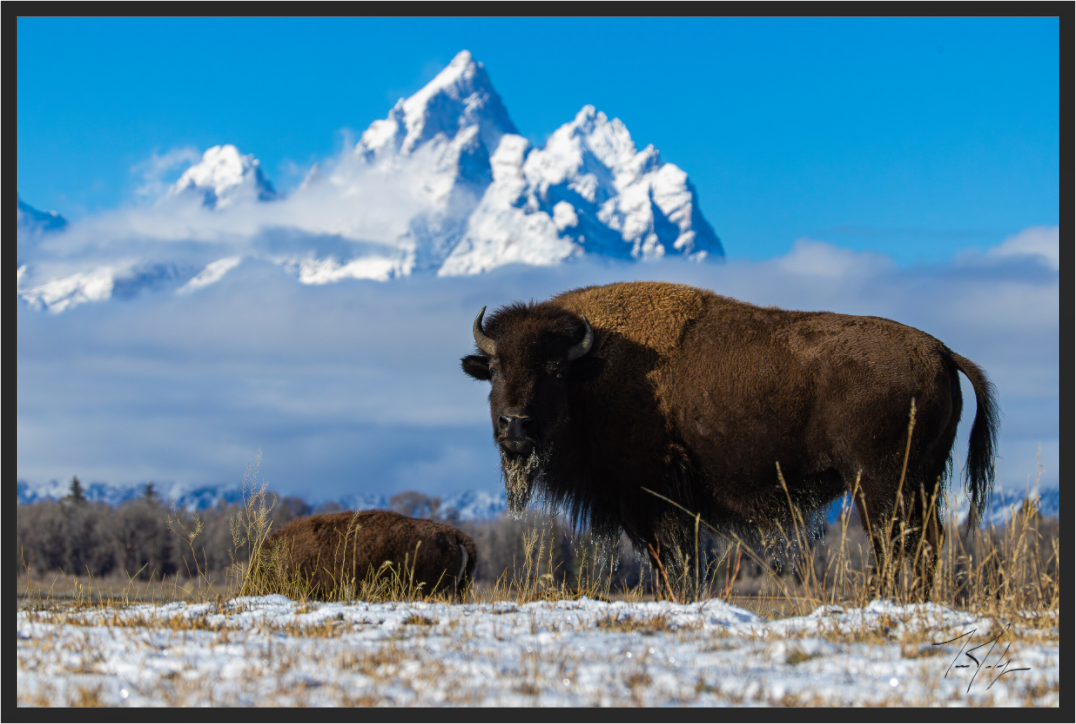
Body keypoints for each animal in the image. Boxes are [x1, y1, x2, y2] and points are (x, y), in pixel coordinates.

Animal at [460, 281, 998, 596]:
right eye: (495, 367)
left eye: (555, 370)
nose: (515, 424)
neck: (592, 370)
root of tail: (940, 350)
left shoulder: (652, 500)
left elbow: (674, 561)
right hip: (919, 484)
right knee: (924, 543)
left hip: (881, 486)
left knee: (898, 544)